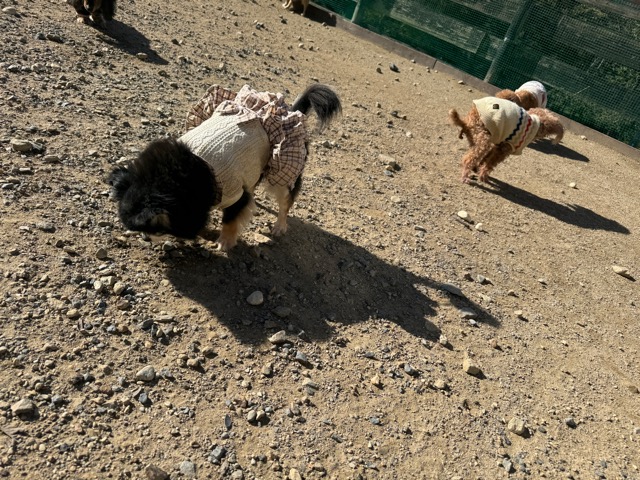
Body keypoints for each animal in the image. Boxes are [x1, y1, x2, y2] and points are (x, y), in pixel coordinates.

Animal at [109, 84, 341, 250]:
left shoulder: (235, 193)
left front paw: (224, 242)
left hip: (283, 174)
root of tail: (290, 111)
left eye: (154, 229)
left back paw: (279, 226)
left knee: (285, 203)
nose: (146, 239)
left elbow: (230, 219)